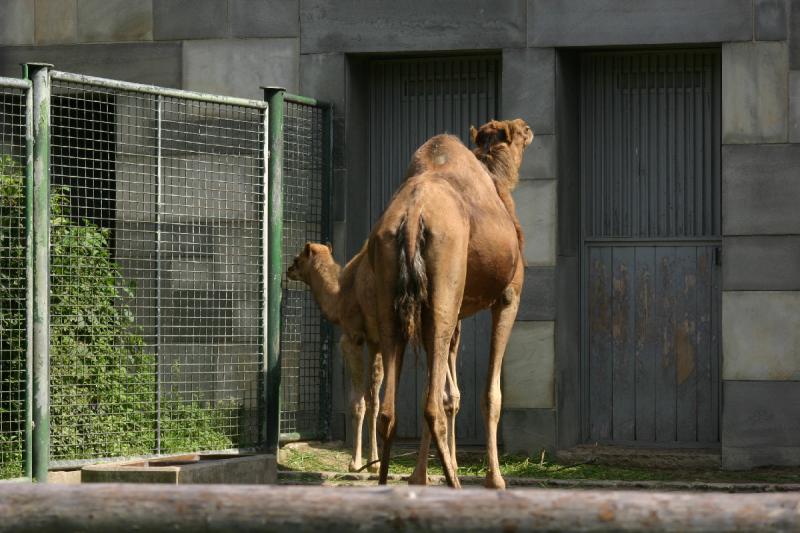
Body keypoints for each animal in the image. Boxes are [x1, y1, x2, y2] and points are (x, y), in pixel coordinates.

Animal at [368, 118, 532, 488]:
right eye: (518, 132)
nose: (527, 127)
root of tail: (413, 216)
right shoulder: (509, 296)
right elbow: (490, 395)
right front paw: (495, 479)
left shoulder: (455, 308)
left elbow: (449, 393)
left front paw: (420, 477)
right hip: (444, 278)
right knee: (429, 406)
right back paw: (455, 484)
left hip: (397, 289)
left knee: (390, 410)